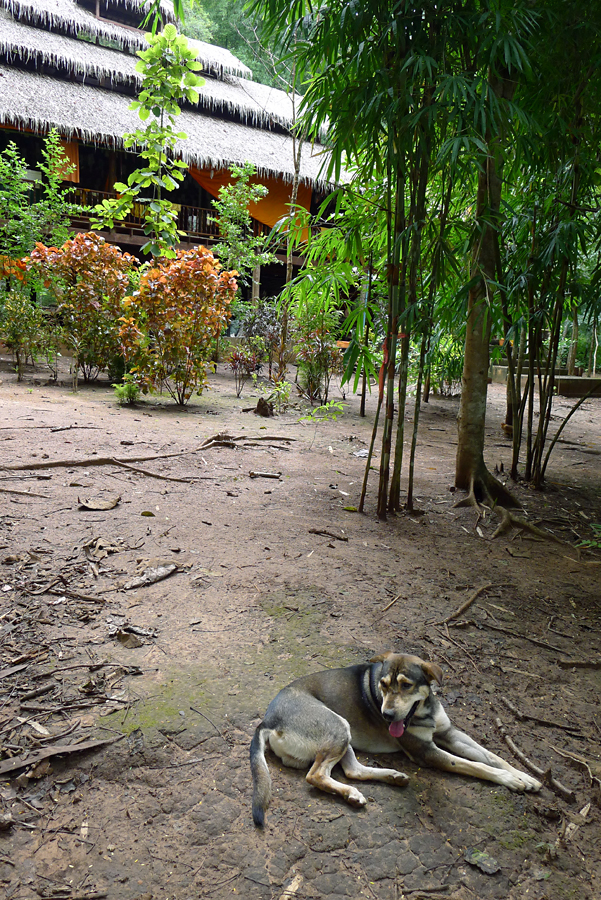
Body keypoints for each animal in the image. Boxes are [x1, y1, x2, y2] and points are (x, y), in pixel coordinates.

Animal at [248, 652, 540, 828]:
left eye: (406, 685)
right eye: (384, 685)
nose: (387, 715)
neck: (422, 711)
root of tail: (267, 721)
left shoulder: (449, 733)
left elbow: (492, 756)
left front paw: (526, 777)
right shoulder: (426, 752)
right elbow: (476, 766)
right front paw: (511, 780)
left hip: (344, 733)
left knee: (353, 770)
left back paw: (390, 777)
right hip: (338, 726)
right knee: (316, 775)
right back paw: (352, 793)